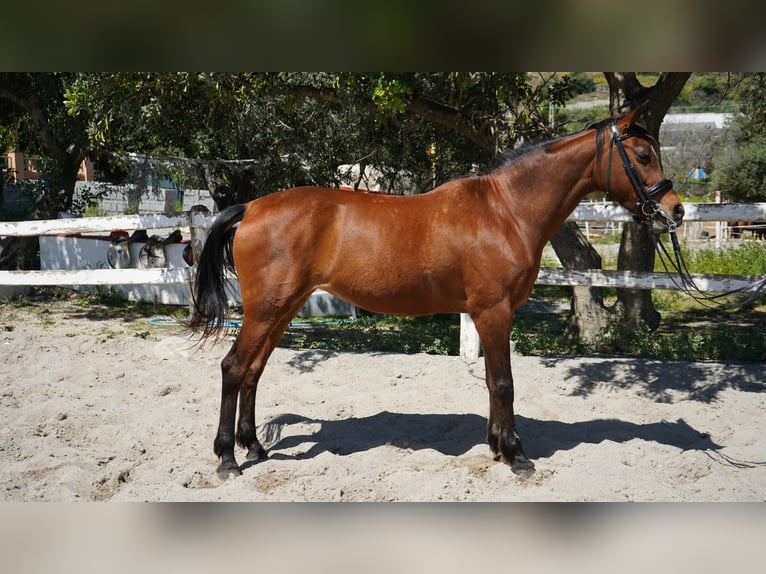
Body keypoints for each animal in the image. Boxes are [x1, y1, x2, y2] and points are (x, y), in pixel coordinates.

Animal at [188, 108, 685, 479]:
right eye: (643, 154)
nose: (675, 211)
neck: (505, 211)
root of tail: (251, 206)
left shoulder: (490, 315)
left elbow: (490, 380)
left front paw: (496, 447)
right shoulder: (494, 311)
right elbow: (503, 383)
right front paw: (517, 454)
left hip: (281, 310)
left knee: (253, 371)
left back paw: (254, 447)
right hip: (266, 310)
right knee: (234, 368)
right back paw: (228, 459)